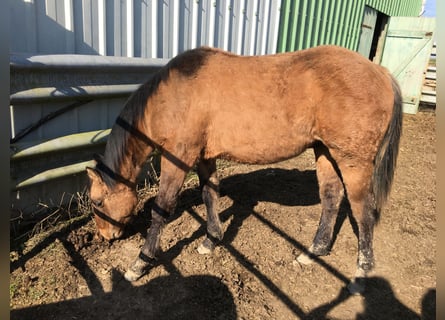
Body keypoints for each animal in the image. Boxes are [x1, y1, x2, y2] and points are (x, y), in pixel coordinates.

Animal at [86, 44, 402, 292]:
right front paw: (211, 241)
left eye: (97, 202)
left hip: (353, 161)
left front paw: (140, 263)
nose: (104, 237)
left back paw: (360, 276)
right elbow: (210, 196)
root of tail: (381, 73)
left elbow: (162, 208)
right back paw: (314, 252)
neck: (172, 96)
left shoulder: (178, 157)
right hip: (324, 152)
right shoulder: (205, 157)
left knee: (363, 213)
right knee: (331, 199)